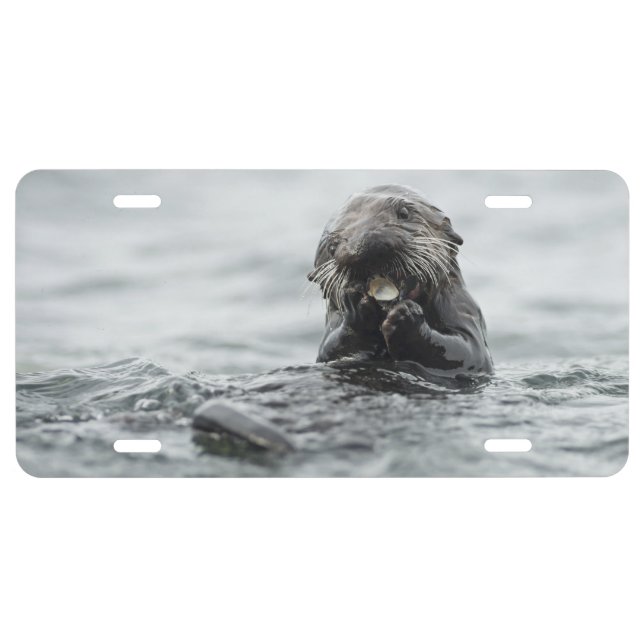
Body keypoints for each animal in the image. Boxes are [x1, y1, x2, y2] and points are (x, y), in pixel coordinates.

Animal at [308, 185, 493, 375]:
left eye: (404, 213)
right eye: (331, 247)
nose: (363, 245)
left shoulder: (463, 308)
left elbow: (468, 351)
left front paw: (406, 316)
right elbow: (331, 351)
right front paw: (356, 309)